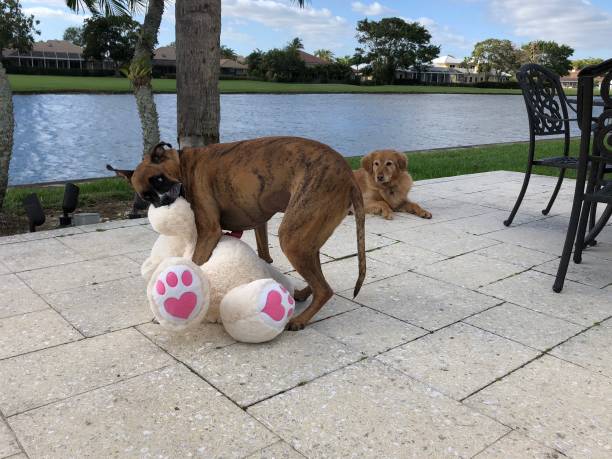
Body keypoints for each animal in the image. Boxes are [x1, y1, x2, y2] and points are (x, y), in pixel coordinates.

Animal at [108, 137, 366, 330]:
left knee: (324, 289)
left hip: (292, 238)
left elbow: (196, 264)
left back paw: (300, 320)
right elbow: (264, 254)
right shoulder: (259, 224)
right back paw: (302, 294)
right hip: (306, 238)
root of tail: (348, 175)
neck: (184, 165)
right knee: (317, 276)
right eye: (147, 196)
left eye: (159, 179)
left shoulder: (209, 233)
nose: (165, 201)